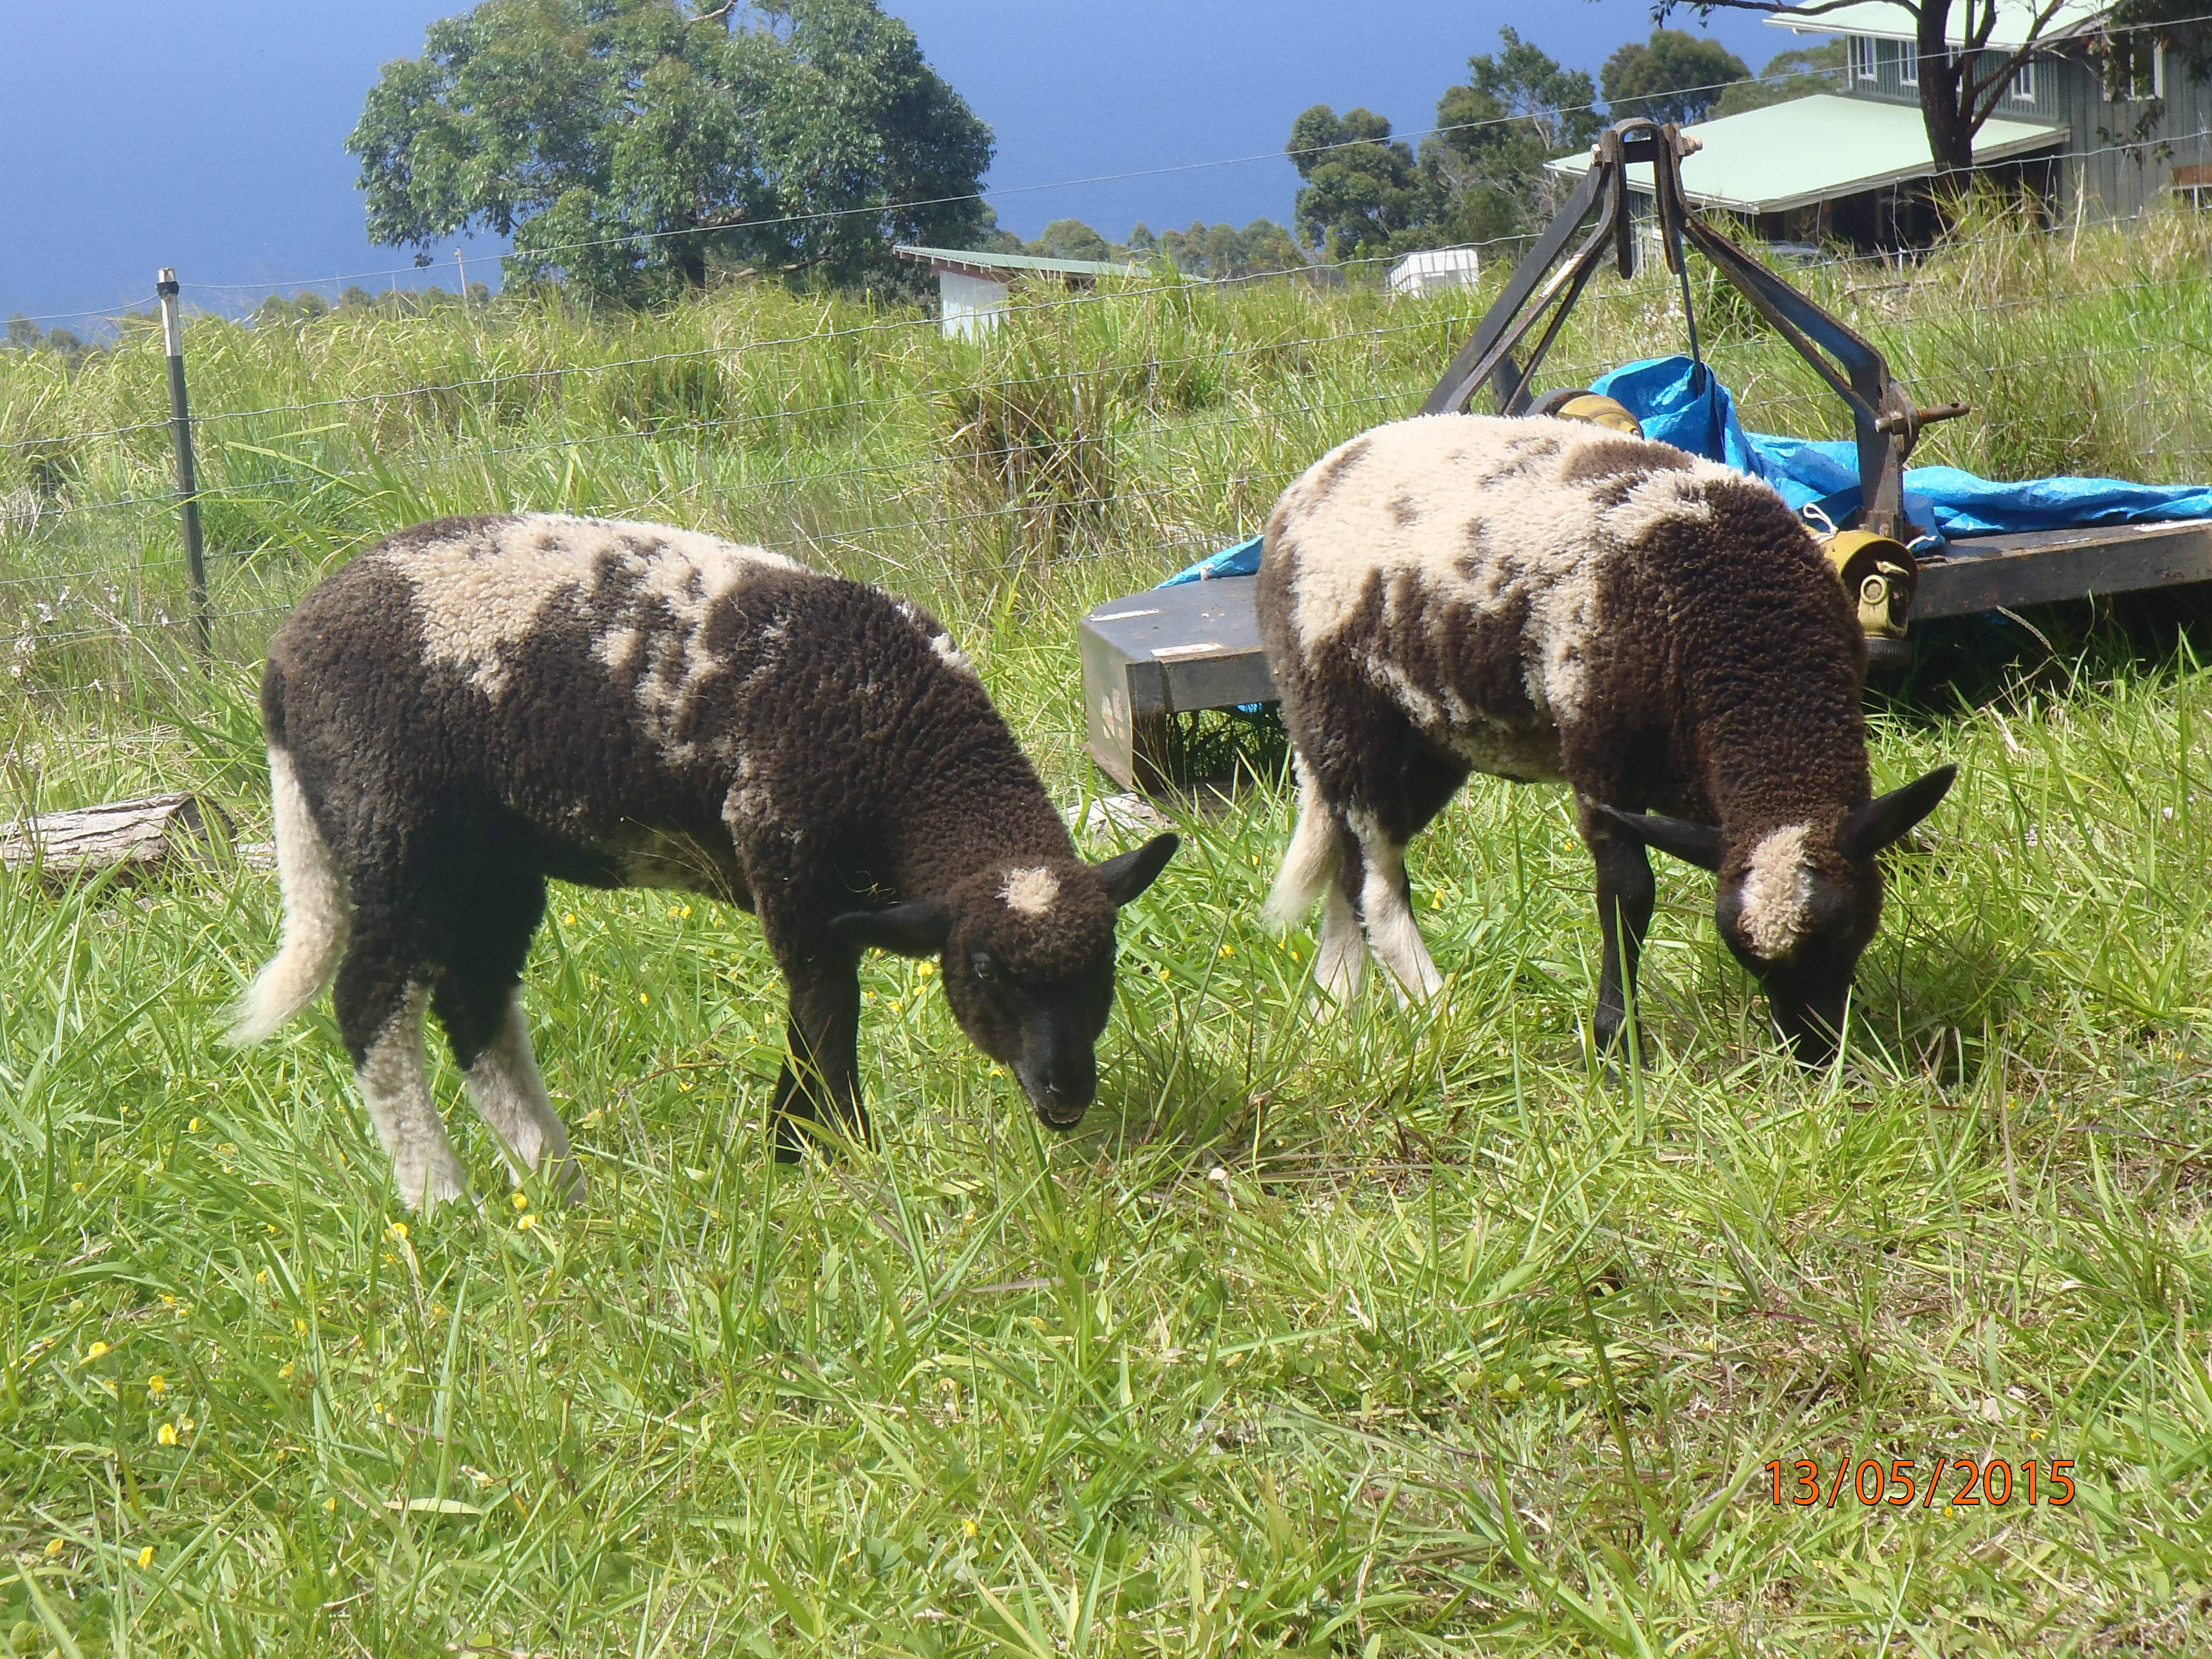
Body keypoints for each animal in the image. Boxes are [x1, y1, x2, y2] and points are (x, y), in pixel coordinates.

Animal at [1265, 416, 1955, 1066]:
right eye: (1741, 952)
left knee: (1347, 869)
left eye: (1847, 930)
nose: (1811, 1055)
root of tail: (1303, 491)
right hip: (1347, 717)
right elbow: (1627, 895)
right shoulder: (1599, 751)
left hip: (1424, 741)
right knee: (1377, 887)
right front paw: (1616, 1047)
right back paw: (1439, 1016)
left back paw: (1335, 1015)